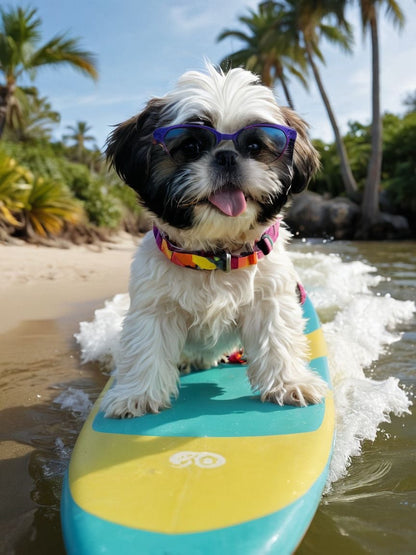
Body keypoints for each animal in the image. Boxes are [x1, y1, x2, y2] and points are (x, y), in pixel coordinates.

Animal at [101, 63, 328, 420]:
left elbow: (277, 337)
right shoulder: (154, 305)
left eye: (254, 147)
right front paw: (136, 394)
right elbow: (146, 344)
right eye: (190, 148)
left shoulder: (271, 297)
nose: (226, 157)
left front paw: (290, 382)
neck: (216, 254)